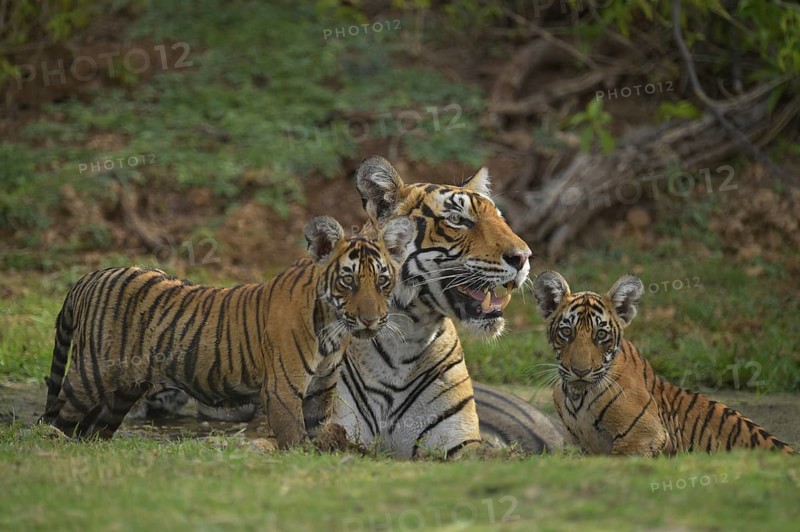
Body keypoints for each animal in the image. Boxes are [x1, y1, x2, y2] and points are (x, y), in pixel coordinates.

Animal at [40, 215, 412, 447]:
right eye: (348, 281)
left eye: (382, 280)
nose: (372, 320)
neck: (331, 330)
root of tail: (90, 276)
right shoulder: (282, 390)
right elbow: (295, 439)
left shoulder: (320, 390)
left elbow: (320, 433)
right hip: (91, 374)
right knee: (56, 416)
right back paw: (51, 445)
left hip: (124, 389)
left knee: (93, 430)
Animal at [301, 156, 563, 458]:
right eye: (456, 220)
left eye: (501, 219)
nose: (523, 257)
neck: (404, 339)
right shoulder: (338, 432)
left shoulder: (461, 443)